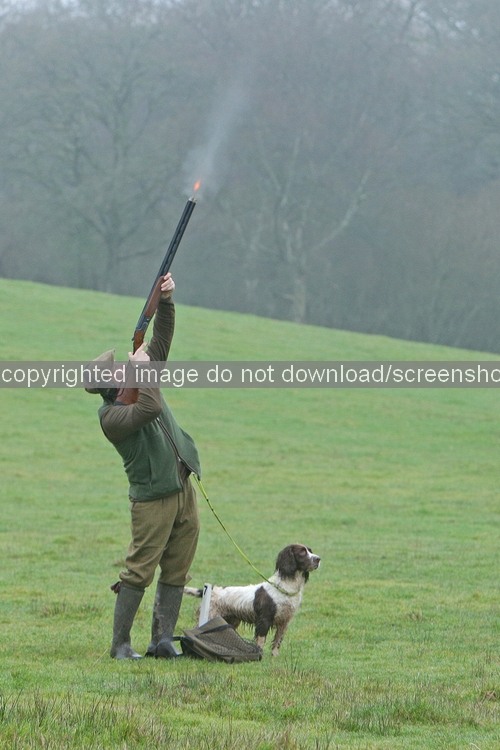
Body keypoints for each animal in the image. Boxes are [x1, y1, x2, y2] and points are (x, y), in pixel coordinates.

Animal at [184, 544, 321, 656]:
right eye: (302, 552)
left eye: (310, 551)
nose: (318, 559)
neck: (285, 587)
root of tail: (212, 589)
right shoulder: (265, 619)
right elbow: (261, 640)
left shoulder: (285, 621)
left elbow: (278, 641)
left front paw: (274, 656)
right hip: (210, 616)